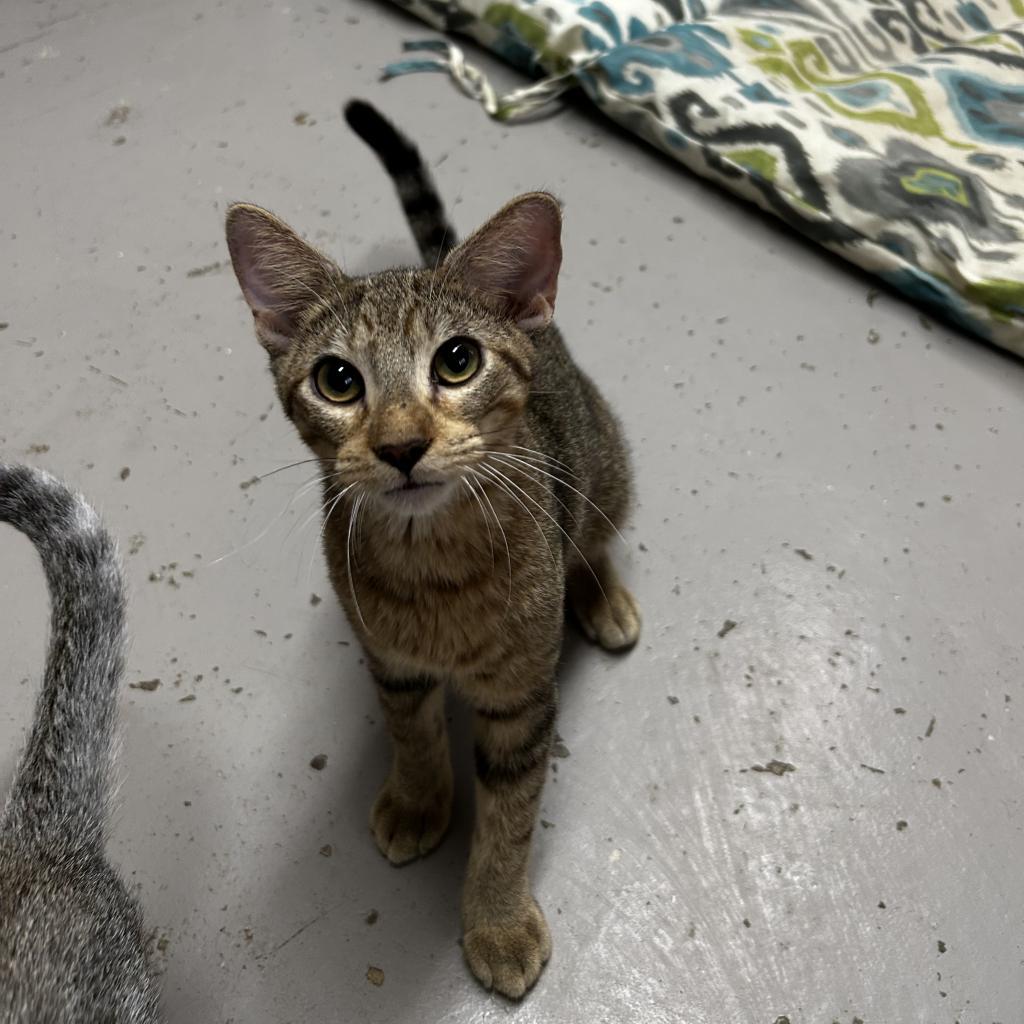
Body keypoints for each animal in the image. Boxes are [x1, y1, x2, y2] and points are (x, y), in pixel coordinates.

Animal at [226, 99, 638, 995]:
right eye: (337, 380)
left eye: (457, 361)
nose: (402, 445)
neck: (434, 567)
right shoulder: (392, 663)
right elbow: (411, 735)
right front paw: (420, 800)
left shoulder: (522, 699)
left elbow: (511, 818)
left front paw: (497, 921)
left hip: (604, 467)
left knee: (593, 533)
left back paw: (601, 593)